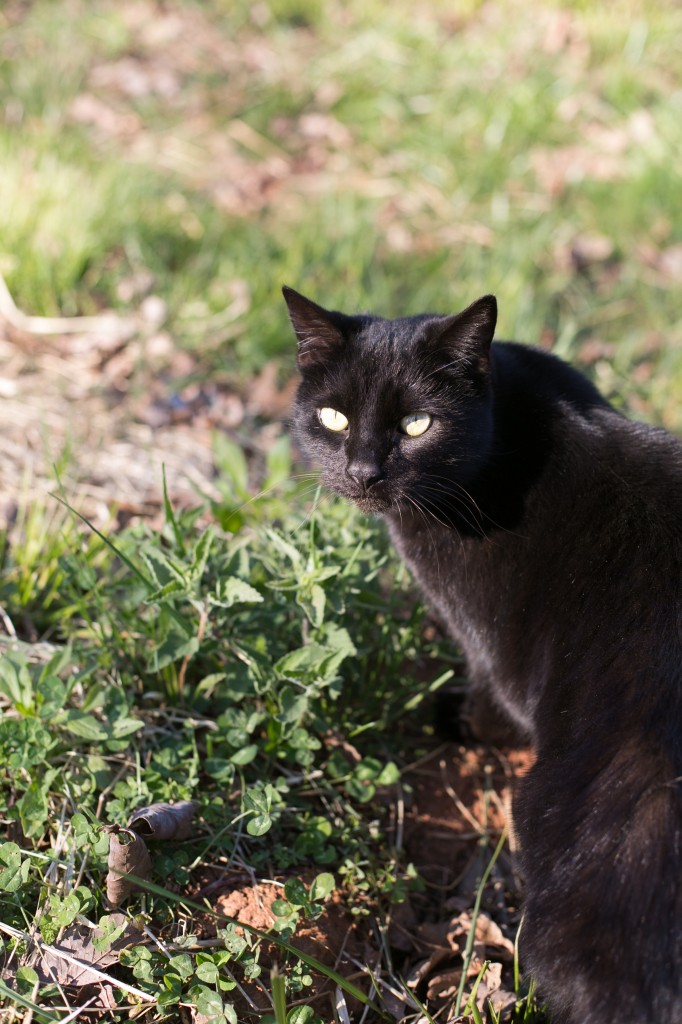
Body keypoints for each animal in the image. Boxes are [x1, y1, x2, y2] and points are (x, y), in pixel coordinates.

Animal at [284, 284, 679, 1024]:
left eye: (417, 424)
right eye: (332, 416)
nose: (362, 472)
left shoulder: (500, 657)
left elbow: (491, 704)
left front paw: (450, 716)